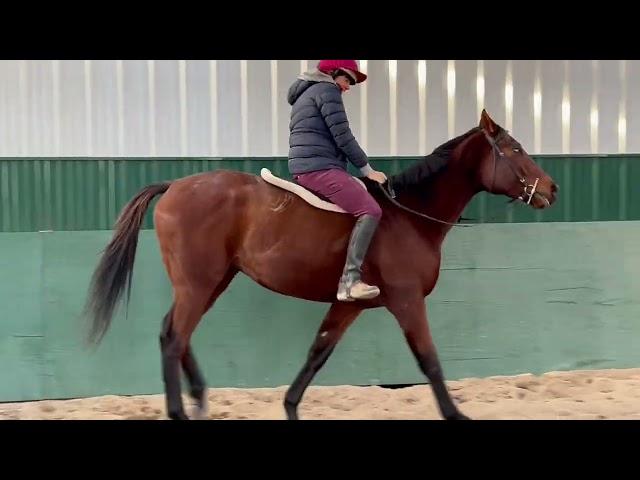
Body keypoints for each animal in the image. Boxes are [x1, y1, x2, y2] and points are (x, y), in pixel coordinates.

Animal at [84, 110, 556, 418]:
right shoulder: (406, 300)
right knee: (173, 337)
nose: (550, 189)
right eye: (515, 149)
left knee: (175, 334)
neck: (410, 216)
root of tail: (175, 186)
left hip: (211, 281)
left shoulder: (349, 305)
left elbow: (317, 353)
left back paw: (199, 397)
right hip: (199, 283)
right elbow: (429, 360)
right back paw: (182, 410)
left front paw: (290, 407)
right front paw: (456, 414)